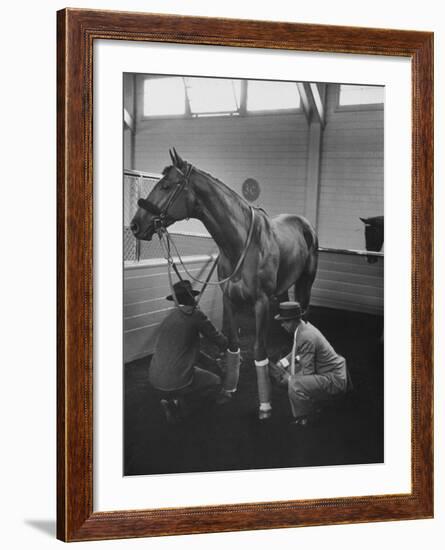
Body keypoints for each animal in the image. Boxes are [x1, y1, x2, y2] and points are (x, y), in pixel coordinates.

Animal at [130, 149, 318, 420]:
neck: (241, 243)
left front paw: (265, 405)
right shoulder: (229, 300)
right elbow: (232, 344)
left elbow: (259, 350)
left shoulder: (261, 303)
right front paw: (228, 390)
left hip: (306, 282)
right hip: (283, 289)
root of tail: (304, 223)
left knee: (303, 315)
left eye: (165, 185)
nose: (135, 225)